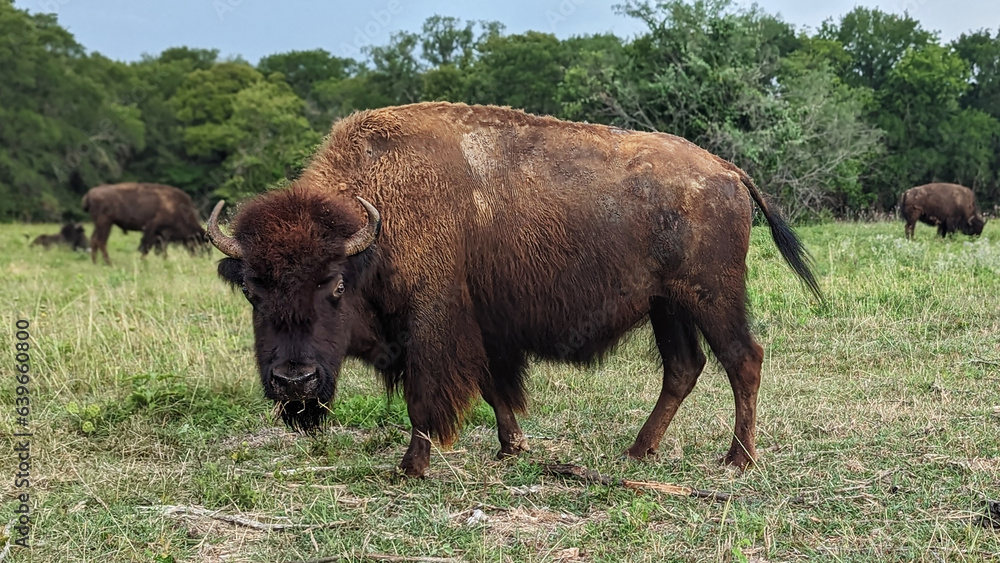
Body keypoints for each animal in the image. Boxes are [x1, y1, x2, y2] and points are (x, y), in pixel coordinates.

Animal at [203, 101, 820, 476]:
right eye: (252, 291)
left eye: (332, 286)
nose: (294, 381)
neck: (375, 223)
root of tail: (727, 170)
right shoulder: (484, 330)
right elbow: (495, 388)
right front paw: (511, 448)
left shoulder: (434, 325)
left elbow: (426, 398)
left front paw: (411, 468)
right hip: (668, 305)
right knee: (684, 368)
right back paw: (637, 452)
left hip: (711, 297)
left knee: (743, 359)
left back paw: (736, 460)